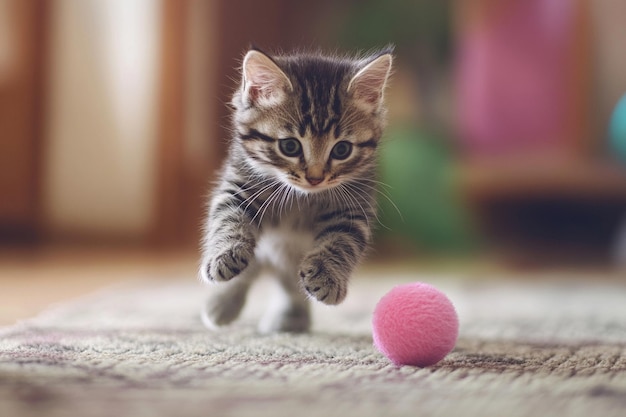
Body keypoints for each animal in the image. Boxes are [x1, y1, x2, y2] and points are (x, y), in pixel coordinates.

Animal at [199, 48, 390, 332]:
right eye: (290, 146)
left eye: (342, 150)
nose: (315, 178)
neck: (302, 198)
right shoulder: (239, 186)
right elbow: (228, 219)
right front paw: (226, 254)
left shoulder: (354, 205)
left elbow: (341, 240)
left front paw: (327, 276)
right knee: (256, 268)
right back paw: (223, 303)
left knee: (288, 279)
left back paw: (291, 315)